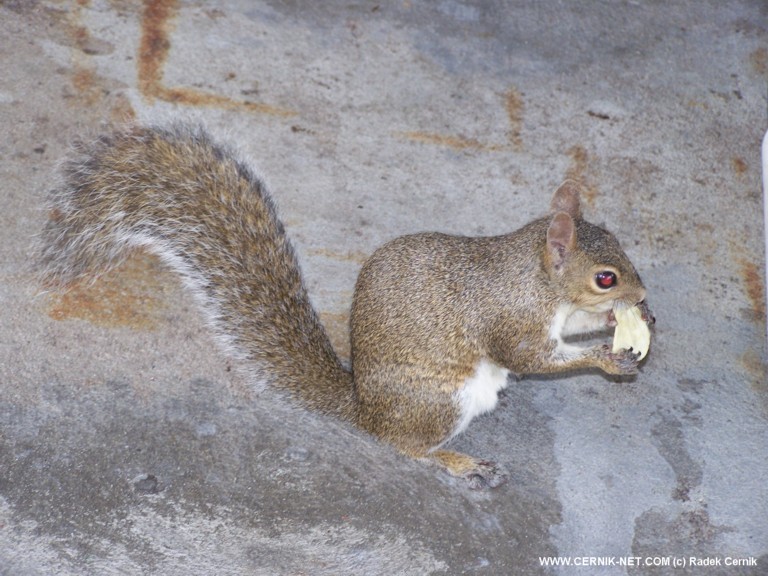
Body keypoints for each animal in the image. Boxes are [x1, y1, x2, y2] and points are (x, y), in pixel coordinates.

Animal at [39, 124, 656, 488]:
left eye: (622, 244)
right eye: (605, 277)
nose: (642, 296)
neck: (537, 276)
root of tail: (363, 408)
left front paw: (622, 323)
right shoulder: (513, 317)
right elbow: (530, 358)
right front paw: (608, 356)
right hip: (441, 400)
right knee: (403, 446)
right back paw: (457, 461)